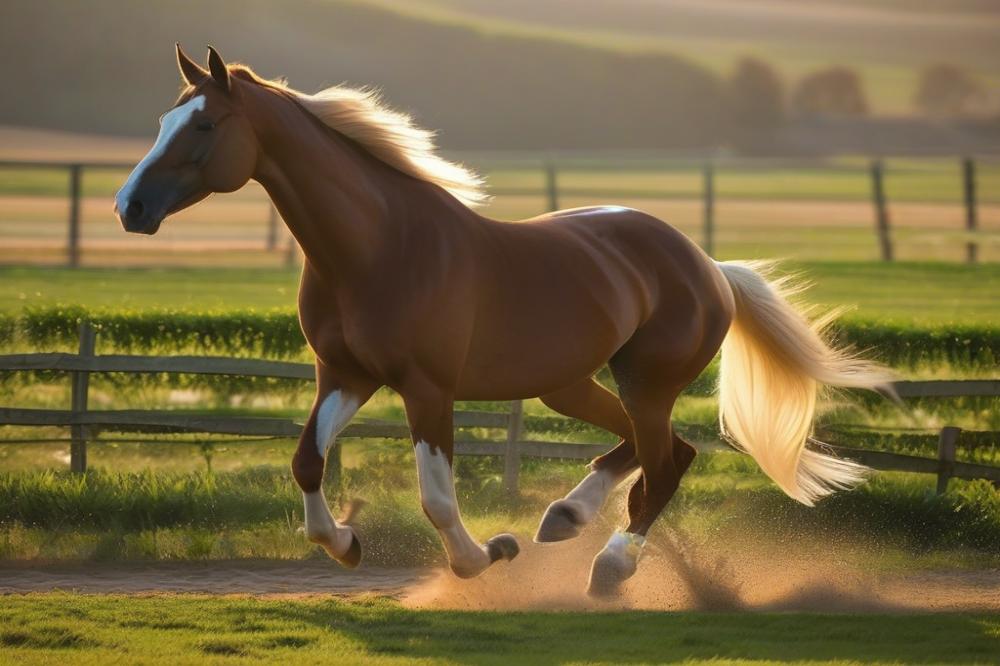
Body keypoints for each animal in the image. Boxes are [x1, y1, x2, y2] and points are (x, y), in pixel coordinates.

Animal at [117, 45, 892, 596]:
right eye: (161, 123)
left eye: (205, 124)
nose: (131, 207)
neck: (376, 248)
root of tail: (707, 265)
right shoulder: (345, 374)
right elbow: (306, 459)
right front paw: (347, 544)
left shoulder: (427, 388)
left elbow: (436, 495)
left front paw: (484, 555)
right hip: (570, 385)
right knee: (654, 453)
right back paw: (564, 518)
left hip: (648, 383)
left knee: (664, 463)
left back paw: (609, 567)